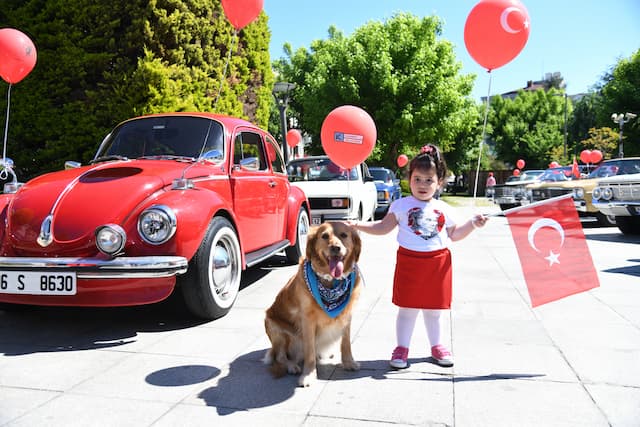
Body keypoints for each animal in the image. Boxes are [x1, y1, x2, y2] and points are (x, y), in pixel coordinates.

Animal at [264, 221, 362, 388]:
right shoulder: (307, 319)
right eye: (324, 236)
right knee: (280, 356)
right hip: (276, 328)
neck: (332, 282)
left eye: (344, 235)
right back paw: (292, 365)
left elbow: (346, 343)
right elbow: (309, 350)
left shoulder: (347, 315)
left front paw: (349, 362)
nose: (335, 248)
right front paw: (308, 375)